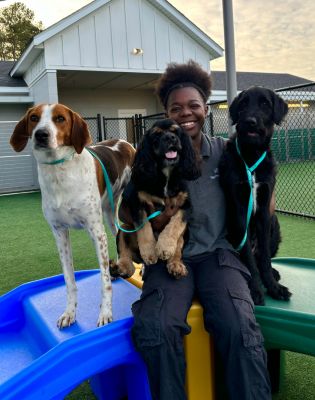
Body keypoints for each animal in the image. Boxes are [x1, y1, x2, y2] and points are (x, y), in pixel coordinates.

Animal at [9, 103, 136, 328]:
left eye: (60, 118)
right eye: (34, 118)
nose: (41, 134)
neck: (59, 171)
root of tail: (124, 142)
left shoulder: (96, 232)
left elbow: (103, 281)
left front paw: (105, 313)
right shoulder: (60, 234)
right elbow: (69, 281)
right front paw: (69, 312)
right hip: (109, 214)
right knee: (118, 236)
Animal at [110, 119, 201, 280]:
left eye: (176, 131)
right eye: (156, 135)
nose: (170, 138)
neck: (166, 174)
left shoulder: (186, 206)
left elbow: (175, 225)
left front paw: (164, 247)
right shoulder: (137, 203)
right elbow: (144, 228)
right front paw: (150, 252)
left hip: (186, 233)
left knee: (178, 246)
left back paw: (176, 265)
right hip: (125, 227)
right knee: (126, 256)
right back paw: (120, 268)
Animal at [221, 87, 292, 304]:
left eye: (265, 104)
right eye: (244, 104)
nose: (250, 121)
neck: (251, 155)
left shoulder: (264, 210)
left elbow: (266, 259)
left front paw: (274, 287)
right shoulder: (239, 211)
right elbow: (249, 260)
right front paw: (255, 289)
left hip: (275, 224)